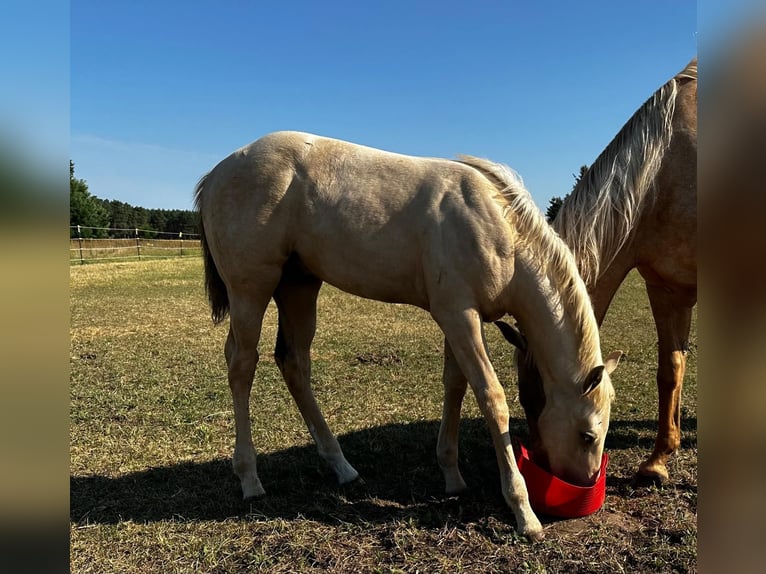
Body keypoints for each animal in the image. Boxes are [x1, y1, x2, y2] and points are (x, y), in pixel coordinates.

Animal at [196, 133, 624, 544]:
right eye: (588, 435)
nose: (586, 483)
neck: (499, 229)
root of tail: (217, 173)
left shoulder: (457, 318)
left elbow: (456, 385)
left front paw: (452, 476)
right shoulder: (459, 315)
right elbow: (491, 398)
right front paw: (524, 513)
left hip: (299, 286)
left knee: (294, 363)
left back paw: (342, 466)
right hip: (251, 290)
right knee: (242, 364)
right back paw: (250, 478)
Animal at [500, 58, 700, 484]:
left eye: (540, 400)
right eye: (523, 398)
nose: (542, 464)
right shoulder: (666, 287)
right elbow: (670, 370)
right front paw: (658, 461)